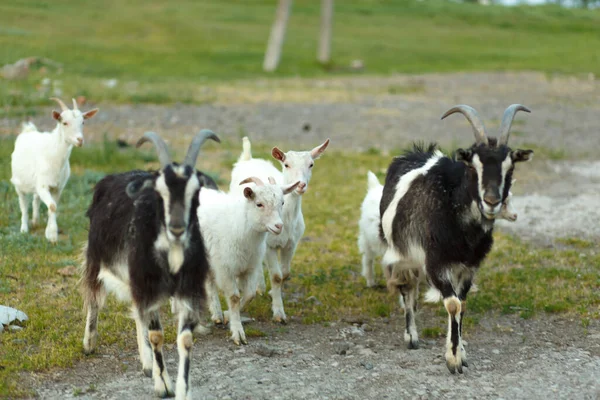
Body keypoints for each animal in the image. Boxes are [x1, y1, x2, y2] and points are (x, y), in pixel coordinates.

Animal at [80, 130, 220, 398]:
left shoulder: (188, 289)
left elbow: (185, 339)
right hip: (96, 256)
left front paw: (182, 389)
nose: (177, 227)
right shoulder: (148, 285)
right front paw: (162, 385)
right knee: (94, 297)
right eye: (160, 192)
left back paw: (146, 363)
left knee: (137, 313)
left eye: (195, 192)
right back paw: (89, 343)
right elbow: (156, 335)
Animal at [198, 177, 298, 344]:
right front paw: (237, 332)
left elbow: (250, 294)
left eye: (282, 203)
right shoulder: (226, 269)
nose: (278, 226)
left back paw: (217, 314)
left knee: (209, 283)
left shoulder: (249, 267)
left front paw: (227, 315)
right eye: (259, 204)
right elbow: (234, 298)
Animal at [227, 137, 328, 322]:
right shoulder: (270, 246)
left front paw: (273, 296)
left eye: (311, 164)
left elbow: (285, 274)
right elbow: (276, 276)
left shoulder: (291, 244)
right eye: (286, 164)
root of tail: (248, 157)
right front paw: (279, 313)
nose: (300, 185)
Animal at [380, 104, 536, 374]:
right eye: (473, 166)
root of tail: (416, 151)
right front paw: (453, 360)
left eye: (510, 168)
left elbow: (462, 304)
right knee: (408, 288)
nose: (492, 201)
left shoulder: (468, 267)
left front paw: (460, 351)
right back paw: (411, 337)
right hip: (403, 255)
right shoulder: (435, 263)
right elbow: (452, 303)